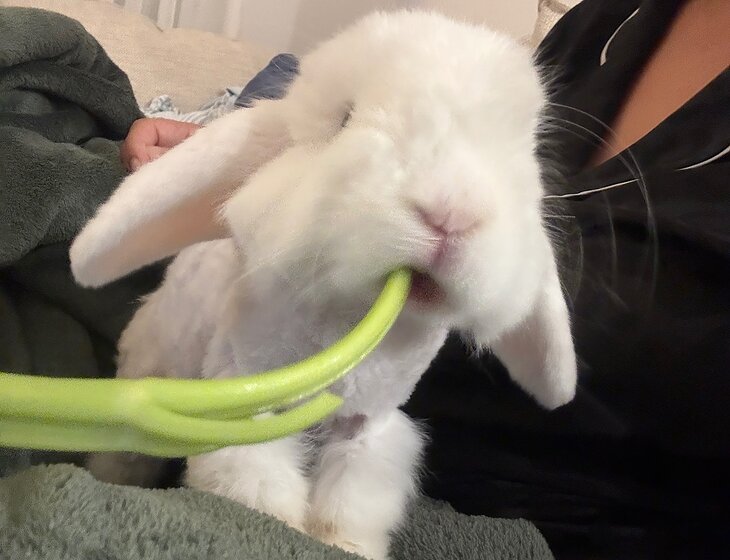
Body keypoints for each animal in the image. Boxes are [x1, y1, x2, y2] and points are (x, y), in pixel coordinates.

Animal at [70, 10, 577, 560]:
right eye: (345, 119)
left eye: (515, 155)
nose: (452, 214)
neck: (347, 319)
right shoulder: (247, 404)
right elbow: (259, 489)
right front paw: (281, 529)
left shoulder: (366, 431)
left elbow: (351, 504)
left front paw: (348, 546)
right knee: (125, 453)